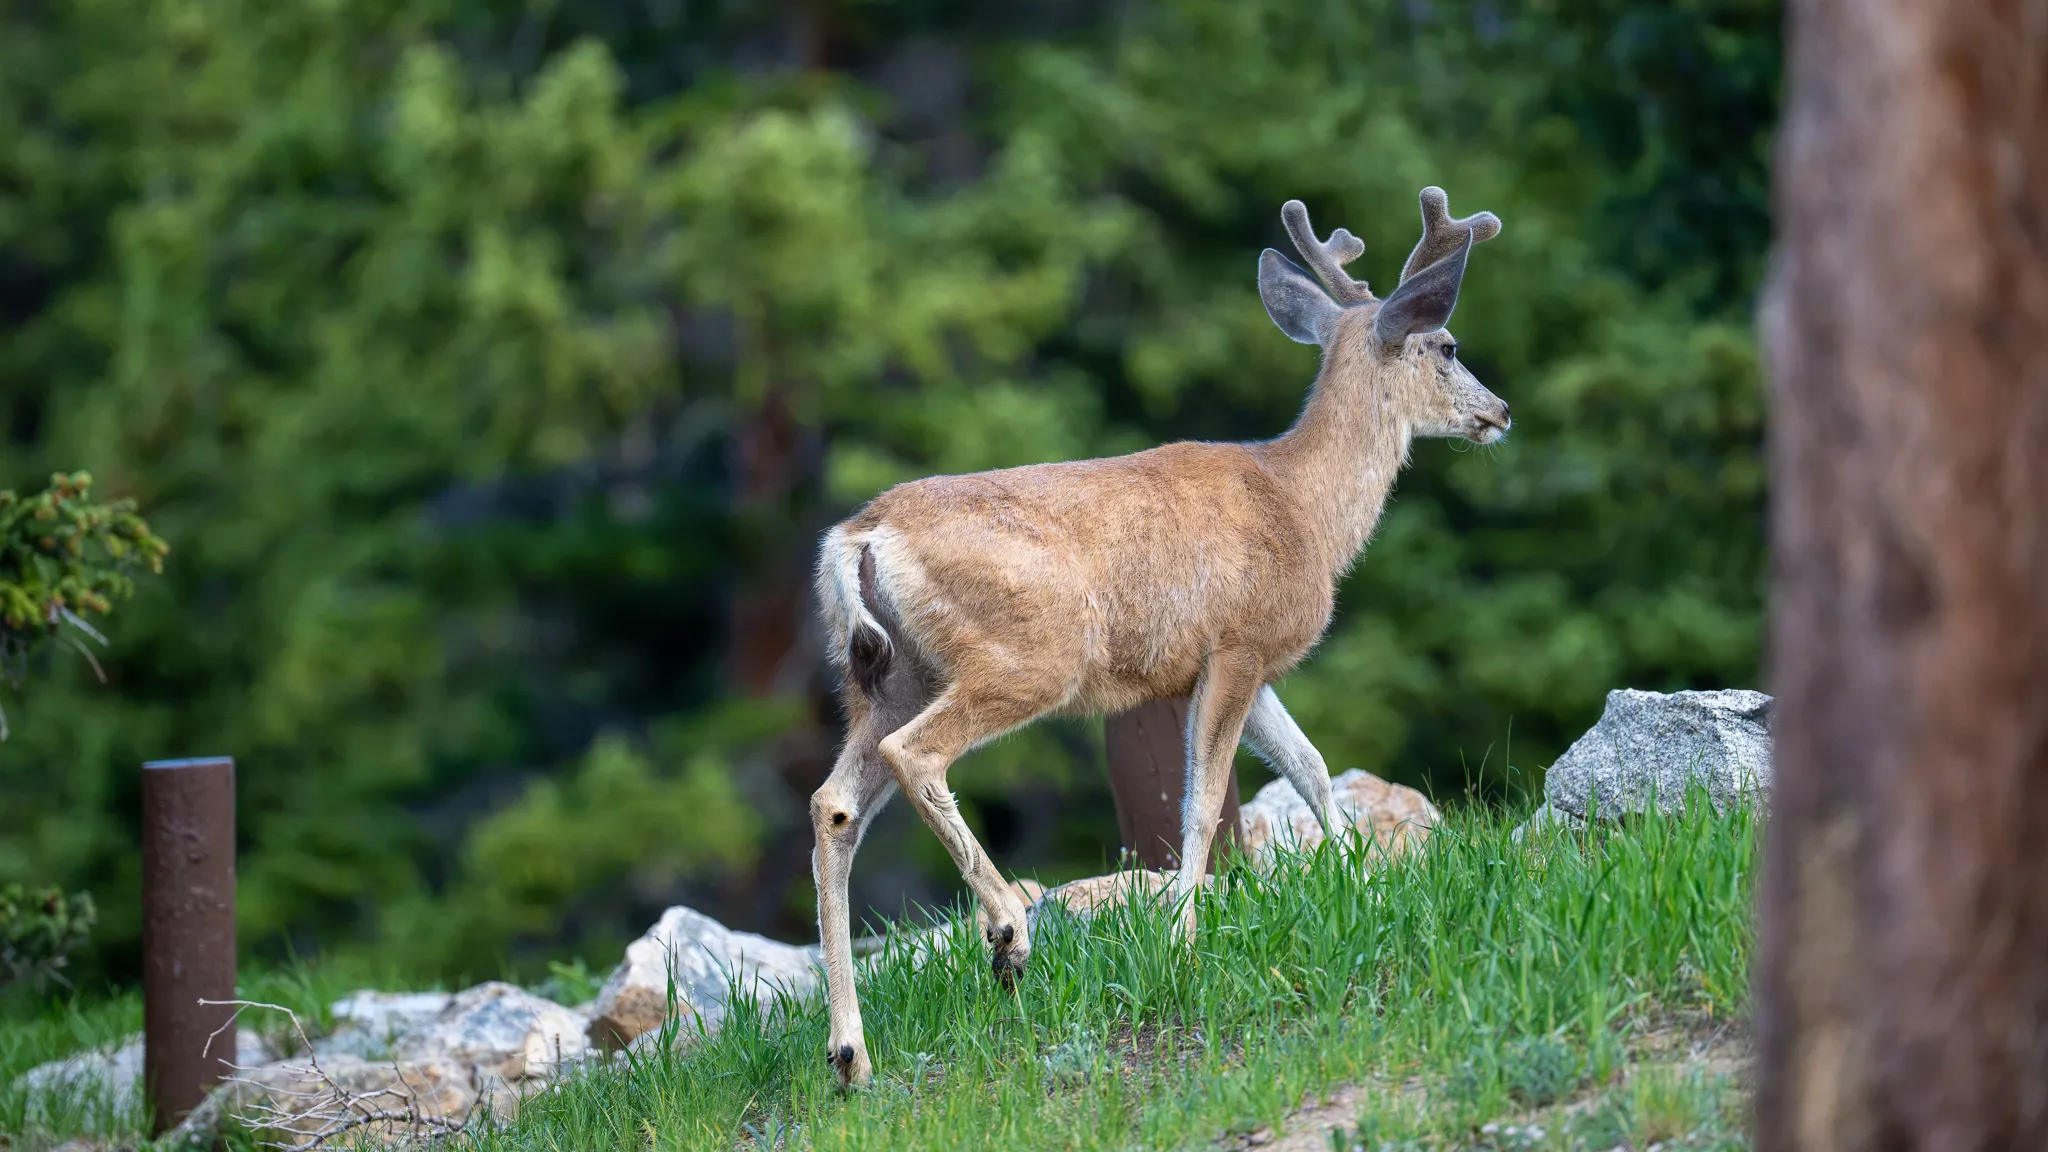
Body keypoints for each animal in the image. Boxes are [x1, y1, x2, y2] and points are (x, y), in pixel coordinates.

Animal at [808, 188, 1507, 1087]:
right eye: (1447, 346)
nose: (1500, 412)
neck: (1305, 507)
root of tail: (858, 538)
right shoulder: (1238, 644)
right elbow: (1202, 801)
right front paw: (1183, 937)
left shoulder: (1244, 661)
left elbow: (1312, 766)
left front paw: (1370, 884)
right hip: (1023, 658)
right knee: (917, 755)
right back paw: (1007, 934)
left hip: (887, 678)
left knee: (834, 806)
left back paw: (851, 1054)